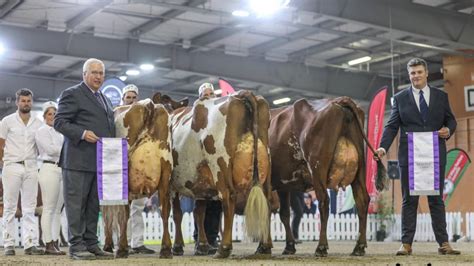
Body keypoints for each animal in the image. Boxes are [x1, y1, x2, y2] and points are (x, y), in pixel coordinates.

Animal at [156, 91, 274, 258]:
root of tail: (243, 94)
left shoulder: (171, 183)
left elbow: (177, 214)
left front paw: (177, 246)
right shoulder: (200, 181)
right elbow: (199, 212)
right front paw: (202, 246)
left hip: (220, 165)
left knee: (228, 199)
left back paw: (223, 248)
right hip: (266, 168)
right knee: (268, 201)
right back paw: (264, 246)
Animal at [268, 97, 384, 256]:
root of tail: (339, 100)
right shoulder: (283, 184)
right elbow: (284, 214)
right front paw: (289, 246)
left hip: (317, 168)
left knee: (324, 201)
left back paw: (321, 247)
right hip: (360, 168)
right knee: (362, 201)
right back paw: (359, 247)